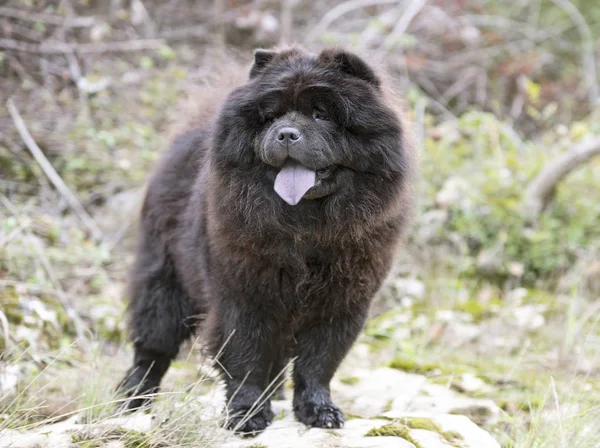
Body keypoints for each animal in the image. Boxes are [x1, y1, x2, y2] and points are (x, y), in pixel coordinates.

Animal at [119, 46, 414, 434]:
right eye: (270, 116)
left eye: (321, 114)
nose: (286, 134)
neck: (306, 227)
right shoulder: (244, 296)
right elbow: (246, 358)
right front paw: (247, 414)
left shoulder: (342, 302)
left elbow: (318, 363)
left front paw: (319, 411)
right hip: (164, 283)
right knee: (152, 350)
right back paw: (133, 398)